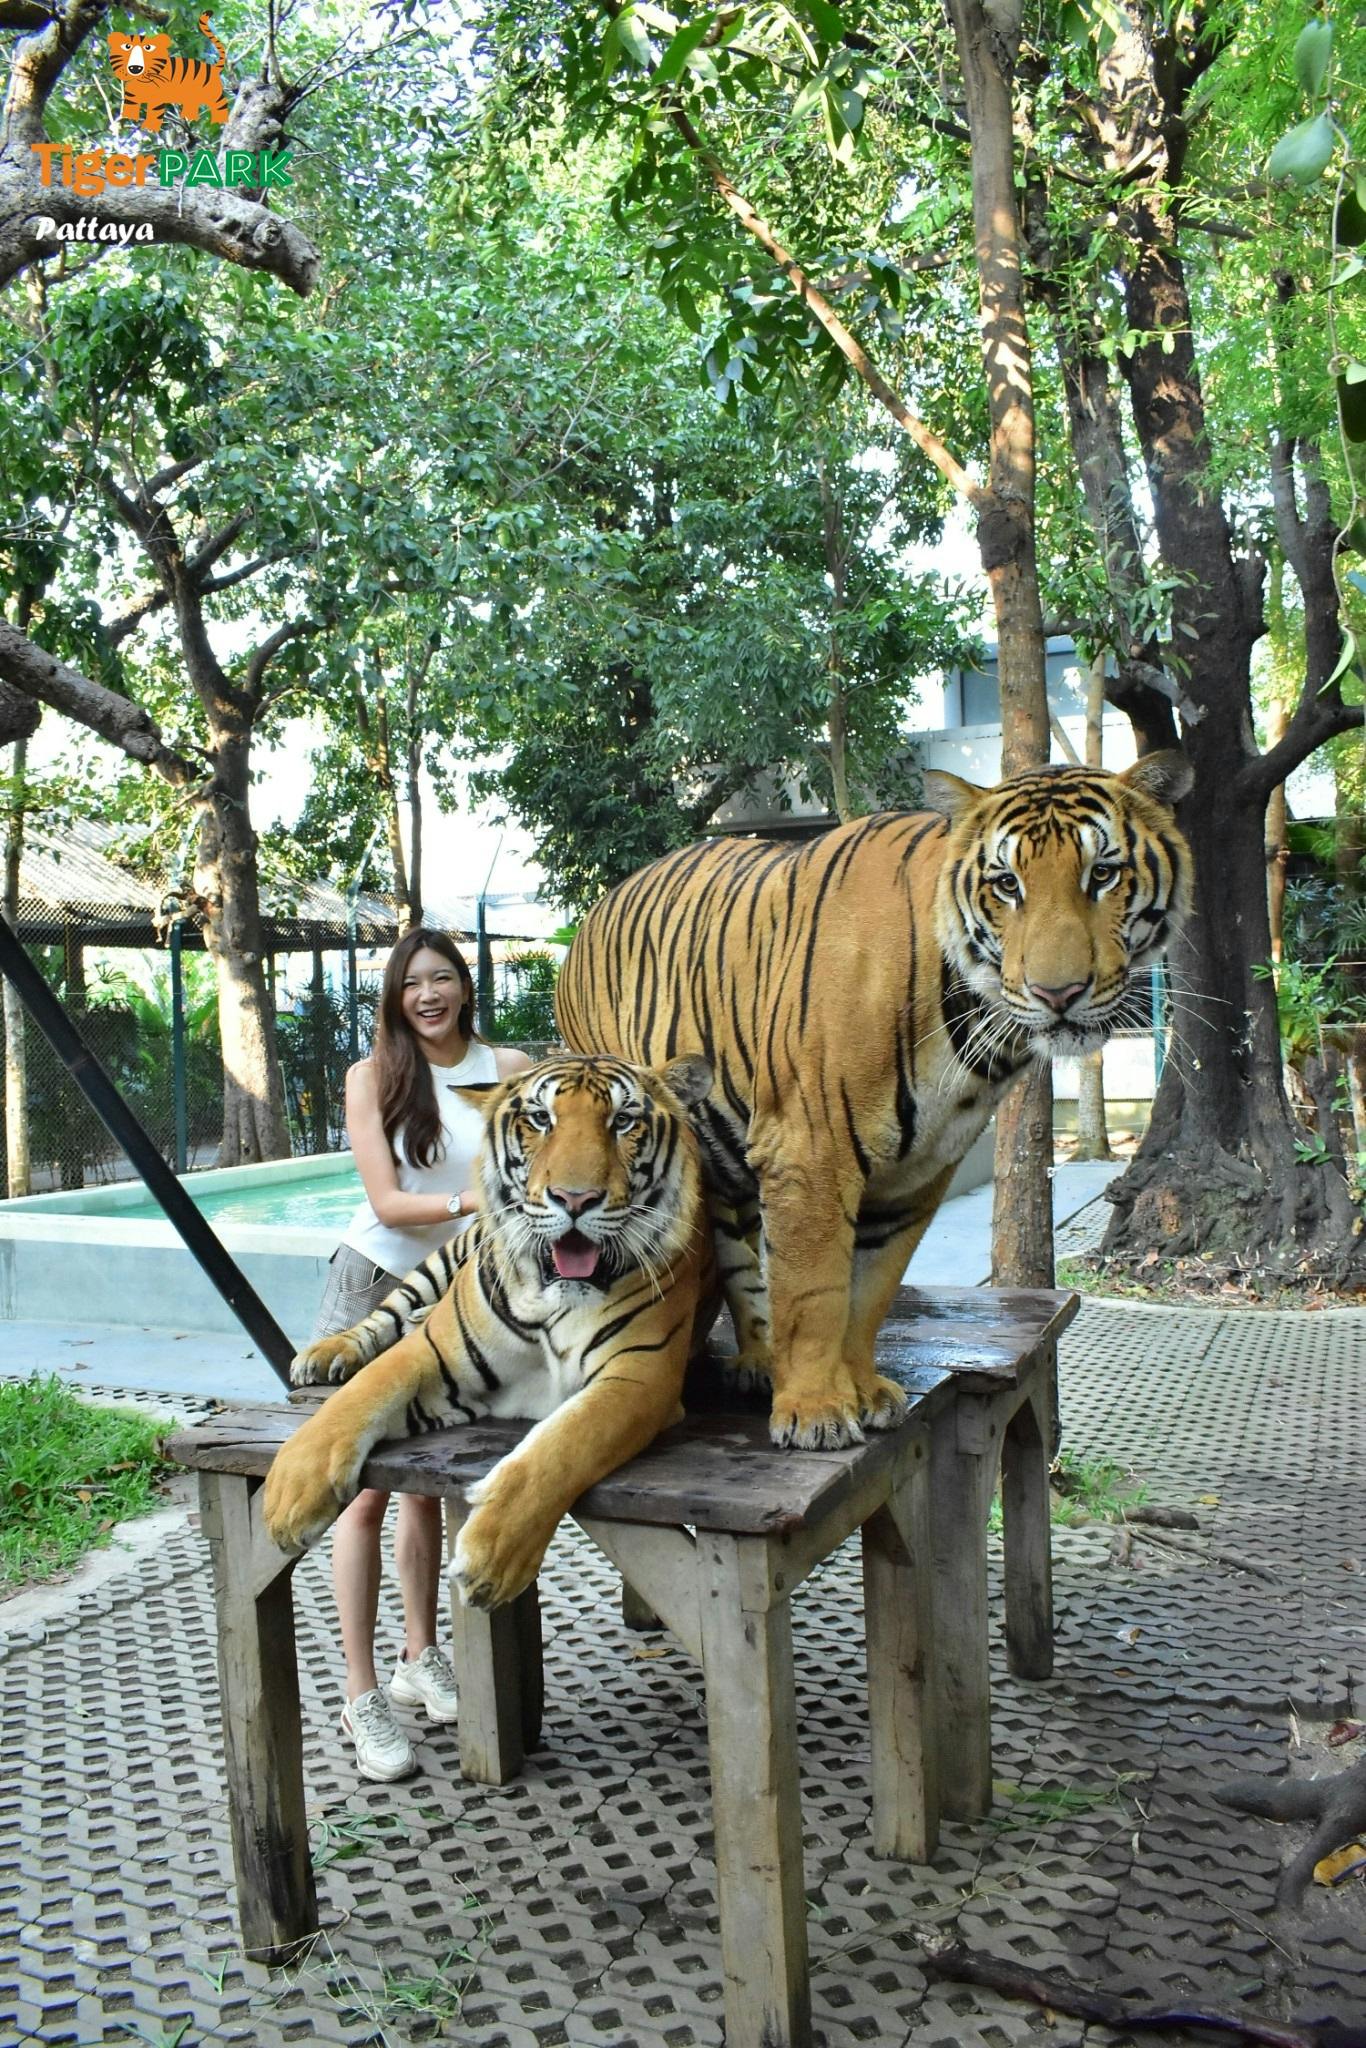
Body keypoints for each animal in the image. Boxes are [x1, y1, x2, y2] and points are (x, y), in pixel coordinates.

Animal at [263, 1053, 713, 1610]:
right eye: (541, 1119)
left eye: (623, 1121)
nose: (576, 1199)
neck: (554, 1296)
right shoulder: (431, 1352)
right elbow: (358, 1396)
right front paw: (290, 1492)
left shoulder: (639, 1377)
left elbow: (562, 1448)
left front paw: (491, 1558)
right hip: (440, 1262)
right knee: (387, 1314)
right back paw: (327, 1353)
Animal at [556, 753, 1194, 1453]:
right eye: (1006, 884)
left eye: (1102, 873)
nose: (1058, 993)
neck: (972, 1029)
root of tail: (592, 912)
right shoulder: (808, 1150)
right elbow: (814, 1292)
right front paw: (814, 1411)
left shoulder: (918, 1171)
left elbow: (869, 1292)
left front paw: (861, 1390)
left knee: (739, 1249)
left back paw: (760, 1360)